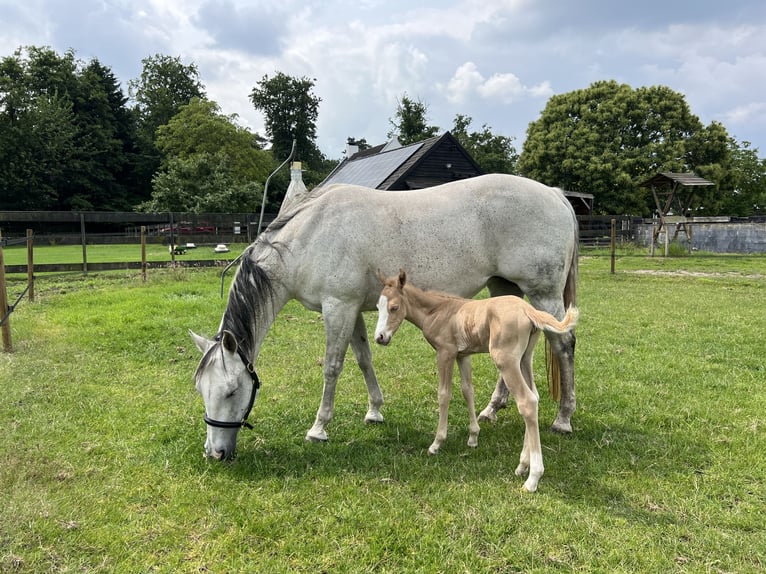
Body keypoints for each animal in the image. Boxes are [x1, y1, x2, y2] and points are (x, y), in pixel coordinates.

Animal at [191, 173, 579, 461]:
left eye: (231, 391)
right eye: (201, 390)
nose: (215, 453)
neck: (309, 236)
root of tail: (555, 195)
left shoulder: (338, 307)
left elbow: (333, 366)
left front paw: (319, 428)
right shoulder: (352, 309)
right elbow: (363, 358)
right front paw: (374, 410)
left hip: (544, 294)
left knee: (564, 344)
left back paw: (563, 419)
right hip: (504, 289)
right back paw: (491, 409)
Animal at [374, 269, 579, 492]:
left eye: (394, 307)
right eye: (377, 306)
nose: (380, 337)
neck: (438, 311)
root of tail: (528, 310)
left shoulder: (445, 353)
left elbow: (444, 394)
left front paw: (436, 443)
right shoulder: (463, 355)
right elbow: (467, 390)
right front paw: (473, 437)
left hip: (505, 360)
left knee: (527, 401)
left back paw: (532, 478)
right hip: (524, 358)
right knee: (534, 396)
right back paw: (522, 465)